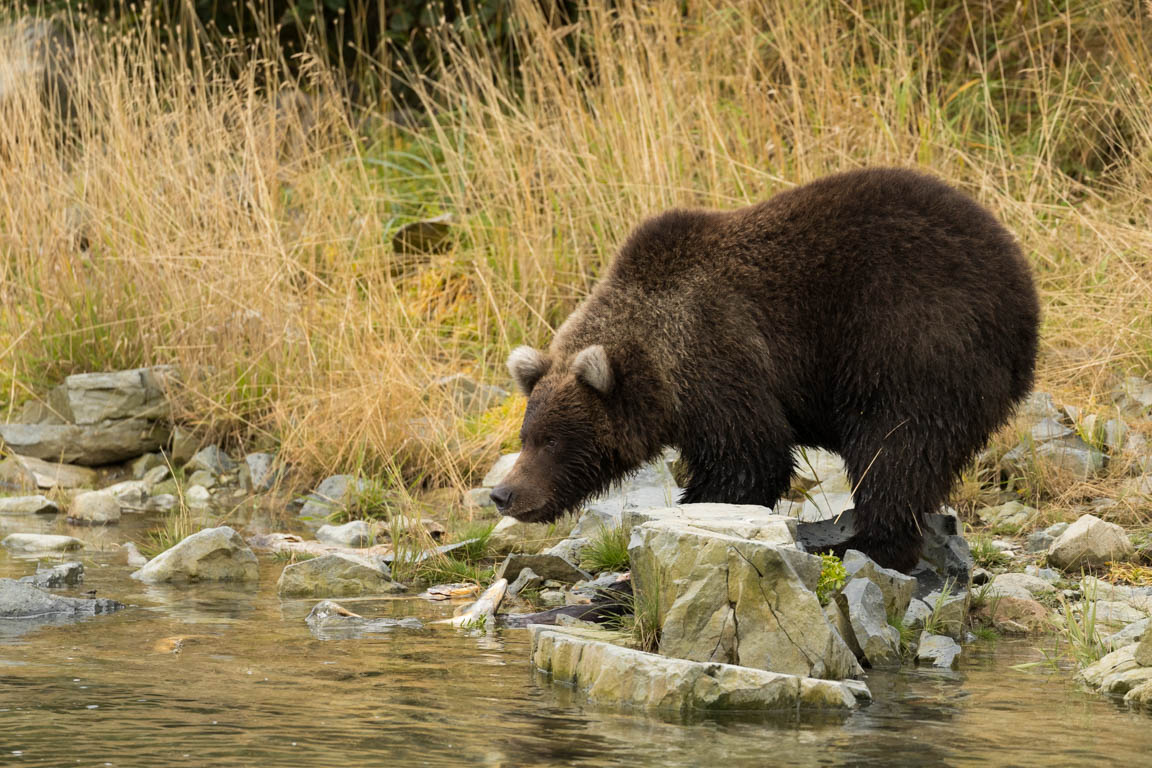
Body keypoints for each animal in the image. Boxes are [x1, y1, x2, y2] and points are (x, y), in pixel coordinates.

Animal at [490, 169, 1041, 575]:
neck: (663, 368)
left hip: (910, 341)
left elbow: (753, 460)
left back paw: (860, 544)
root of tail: (1022, 290)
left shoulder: (723, 360)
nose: (503, 494)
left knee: (896, 449)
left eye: (552, 441)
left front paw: (691, 513)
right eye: (526, 436)